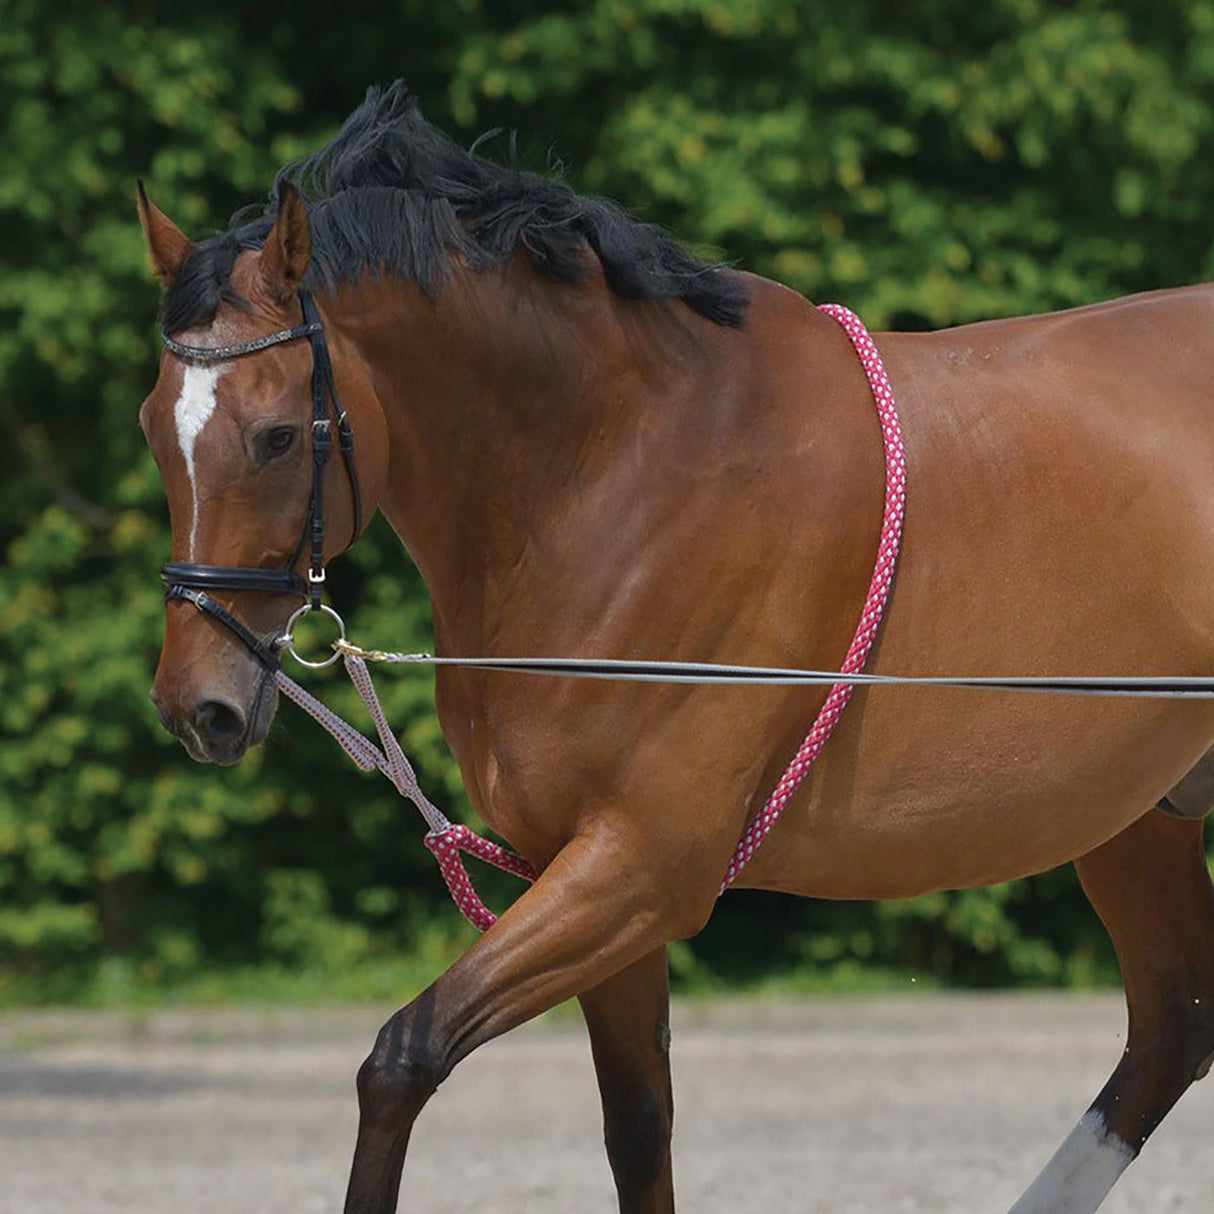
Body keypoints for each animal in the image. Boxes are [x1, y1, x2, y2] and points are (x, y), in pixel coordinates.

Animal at [135, 83, 1214, 1214]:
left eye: (275, 437)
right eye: (155, 428)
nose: (197, 706)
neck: (625, 477)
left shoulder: (643, 868)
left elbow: (403, 1055)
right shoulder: (585, 874)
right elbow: (637, 1128)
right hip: (1136, 813)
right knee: (1174, 1021)